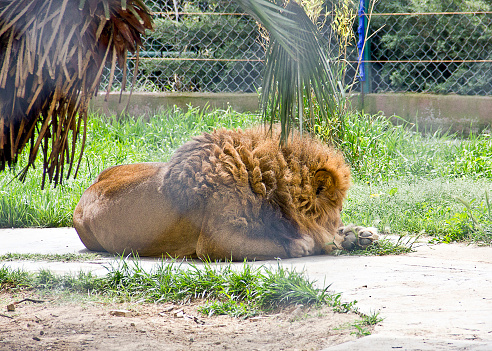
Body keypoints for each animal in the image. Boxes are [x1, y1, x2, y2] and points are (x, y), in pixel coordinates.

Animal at [73, 126, 378, 262]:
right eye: (338, 207)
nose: (340, 226)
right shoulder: (213, 243)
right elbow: (290, 244)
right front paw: (321, 240)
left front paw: (359, 234)